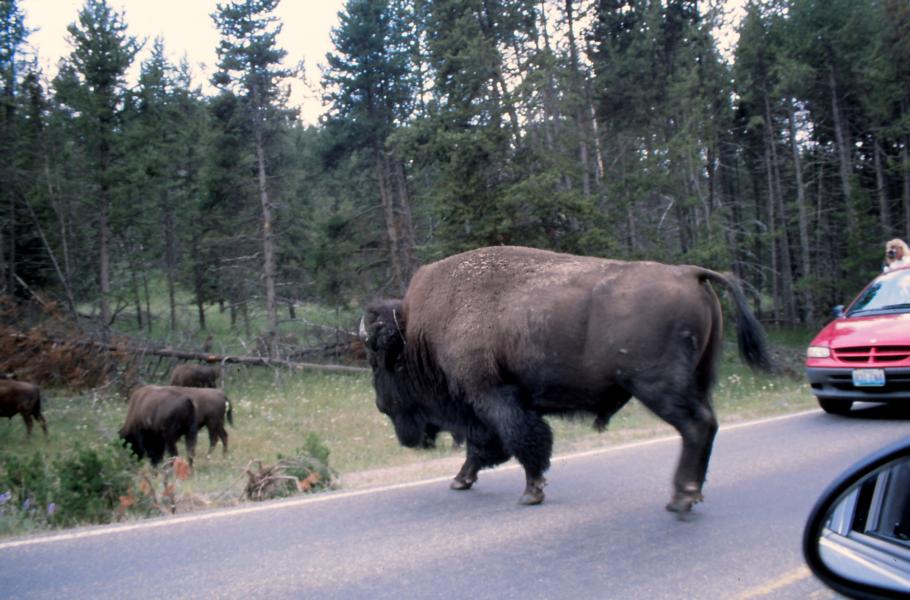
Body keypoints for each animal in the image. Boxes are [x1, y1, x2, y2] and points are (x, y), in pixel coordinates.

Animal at [360, 246, 772, 512]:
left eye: (380, 363)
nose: (379, 405)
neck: (418, 334)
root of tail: (689, 272)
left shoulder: (490, 396)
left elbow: (522, 441)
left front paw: (531, 492)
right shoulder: (487, 404)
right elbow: (486, 448)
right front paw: (460, 480)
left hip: (659, 387)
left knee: (697, 426)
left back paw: (680, 498)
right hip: (700, 380)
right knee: (707, 424)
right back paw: (692, 494)